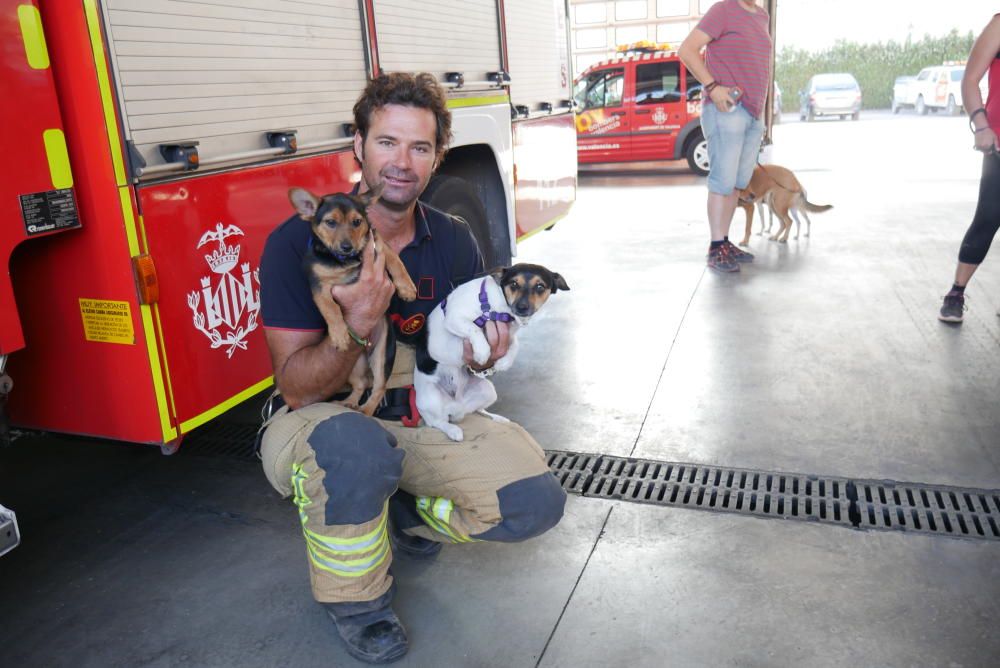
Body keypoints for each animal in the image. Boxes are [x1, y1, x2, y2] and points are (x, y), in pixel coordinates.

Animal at [288, 185, 416, 414]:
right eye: (330, 222)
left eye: (357, 222)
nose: (347, 246)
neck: (347, 260)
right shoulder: (318, 286)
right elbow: (330, 308)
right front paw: (339, 336)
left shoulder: (379, 245)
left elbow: (396, 260)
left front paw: (407, 288)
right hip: (351, 368)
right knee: (361, 384)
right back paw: (349, 403)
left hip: (382, 352)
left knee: (378, 387)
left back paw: (365, 410)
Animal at [414, 264, 572, 440]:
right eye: (514, 284)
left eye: (540, 287)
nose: (521, 307)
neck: (498, 308)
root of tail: (457, 406)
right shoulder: (454, 318)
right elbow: (474, 329)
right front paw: (482, 351)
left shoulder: (509, 333)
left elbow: (515, 344)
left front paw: (504, 363)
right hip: (431, 397)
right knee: (437, 423)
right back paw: (453, 431)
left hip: (488, 390)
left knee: (477, 410)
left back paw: (497, 418)